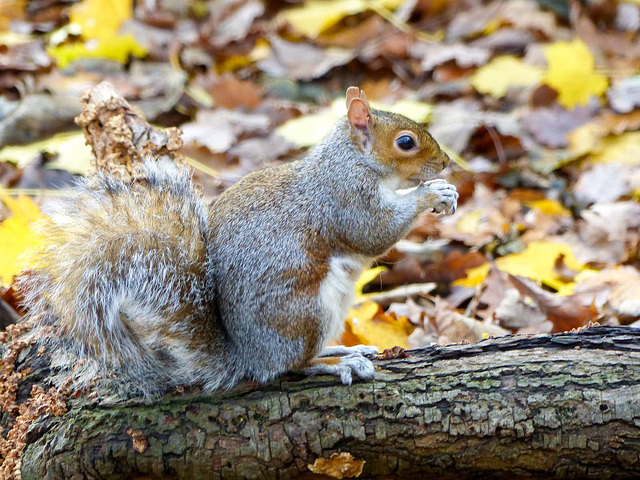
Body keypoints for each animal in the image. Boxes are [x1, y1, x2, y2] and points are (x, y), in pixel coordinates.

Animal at [20, 87, 458, 398]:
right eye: (406, 142)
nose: (446, 163)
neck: (353, 161)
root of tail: (247, 354)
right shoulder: (344, 198)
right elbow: (373, 231)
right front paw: (431, 193)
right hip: (305, 313)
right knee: (290, 365)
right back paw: (336, 364)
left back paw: (344, 351)